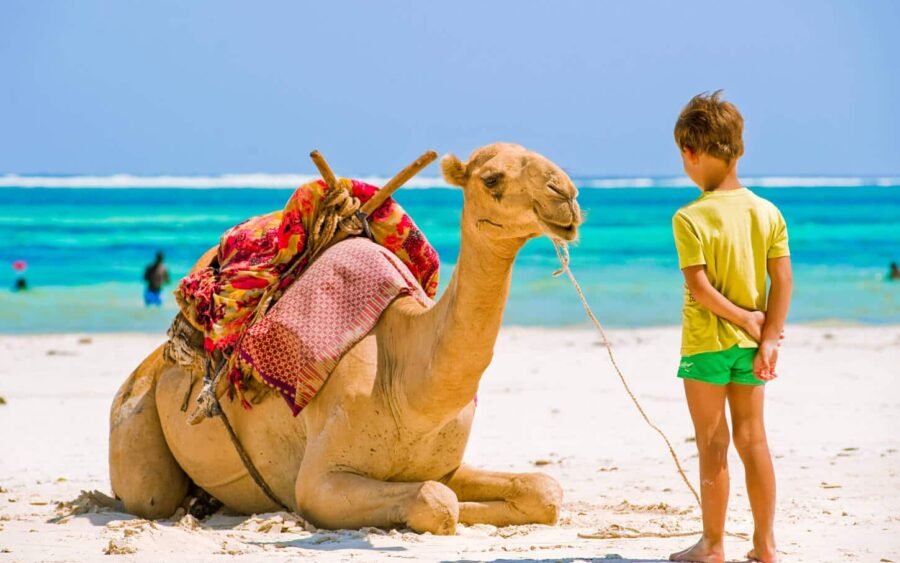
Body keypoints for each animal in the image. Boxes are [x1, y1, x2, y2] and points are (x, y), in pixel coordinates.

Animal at [109, 143, 582, 535]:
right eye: (492, 178)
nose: (567, 195)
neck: (407, 382)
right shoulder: (319, 483)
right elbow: (438, 501)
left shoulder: (447, 464)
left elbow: (541, 489)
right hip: (135, 422)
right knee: (149, 496)